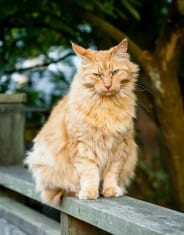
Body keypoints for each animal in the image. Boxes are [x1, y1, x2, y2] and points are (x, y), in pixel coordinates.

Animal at [25, 39, 139, 204]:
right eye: (97, 75)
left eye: (115, 72)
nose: (108, 85)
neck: (106, 107)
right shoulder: (82, 146)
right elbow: (90, 173)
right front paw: (90, 192)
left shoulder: (119, 147)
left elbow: (111, 173)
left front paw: (110, 190)